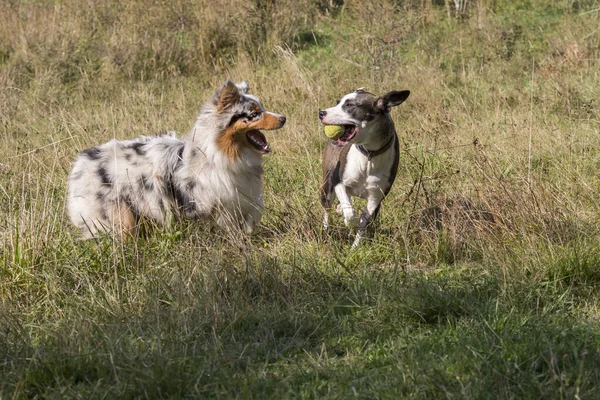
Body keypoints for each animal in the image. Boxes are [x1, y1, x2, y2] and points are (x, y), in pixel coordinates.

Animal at [67, 81, 288, 238]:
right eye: (255, 113)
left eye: (262, 108)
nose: (284, 118)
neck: (222, 151)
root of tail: (80, 163)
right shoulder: (212, 201)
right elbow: (226, 222)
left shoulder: (244, 192)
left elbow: (256, 211)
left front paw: (248, 231)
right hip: (120, 217)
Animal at [318, 87, 408, 247]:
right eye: (338, 102)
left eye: (349, 105)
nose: (321, 113)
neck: (369, 155)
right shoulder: (338, 182)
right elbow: (350, 213)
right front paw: (350, 219)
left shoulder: (376, 198)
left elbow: (364, 223)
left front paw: (355, 247)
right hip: (327, 185)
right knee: (327, 208)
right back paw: (326, 229)